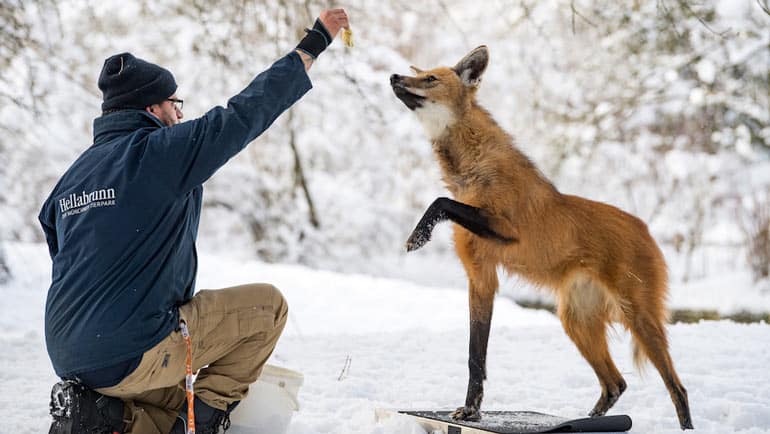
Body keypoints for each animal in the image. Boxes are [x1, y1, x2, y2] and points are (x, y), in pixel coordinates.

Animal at [388, 45, 692, 428]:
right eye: (419, 73)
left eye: (430, 78)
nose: (393, 76)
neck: (472, 171)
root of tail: (647, 229)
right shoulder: (481, 278)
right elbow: (475, 356)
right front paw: (471, 410)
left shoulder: (506, 232)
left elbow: (440, 201)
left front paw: (418, 235)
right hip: (575, 322)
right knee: (615, 384)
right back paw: (586, 419)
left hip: (638, 318)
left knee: (677, 388)